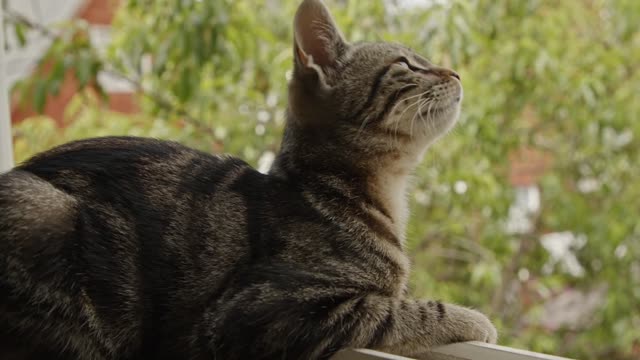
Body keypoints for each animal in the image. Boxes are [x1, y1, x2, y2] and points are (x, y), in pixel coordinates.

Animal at [0, 0, 496, 360]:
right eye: (407, 65)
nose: (455, 72)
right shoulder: (260, 313)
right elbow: (402, 312)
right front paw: (474, 320)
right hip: (42, 215)